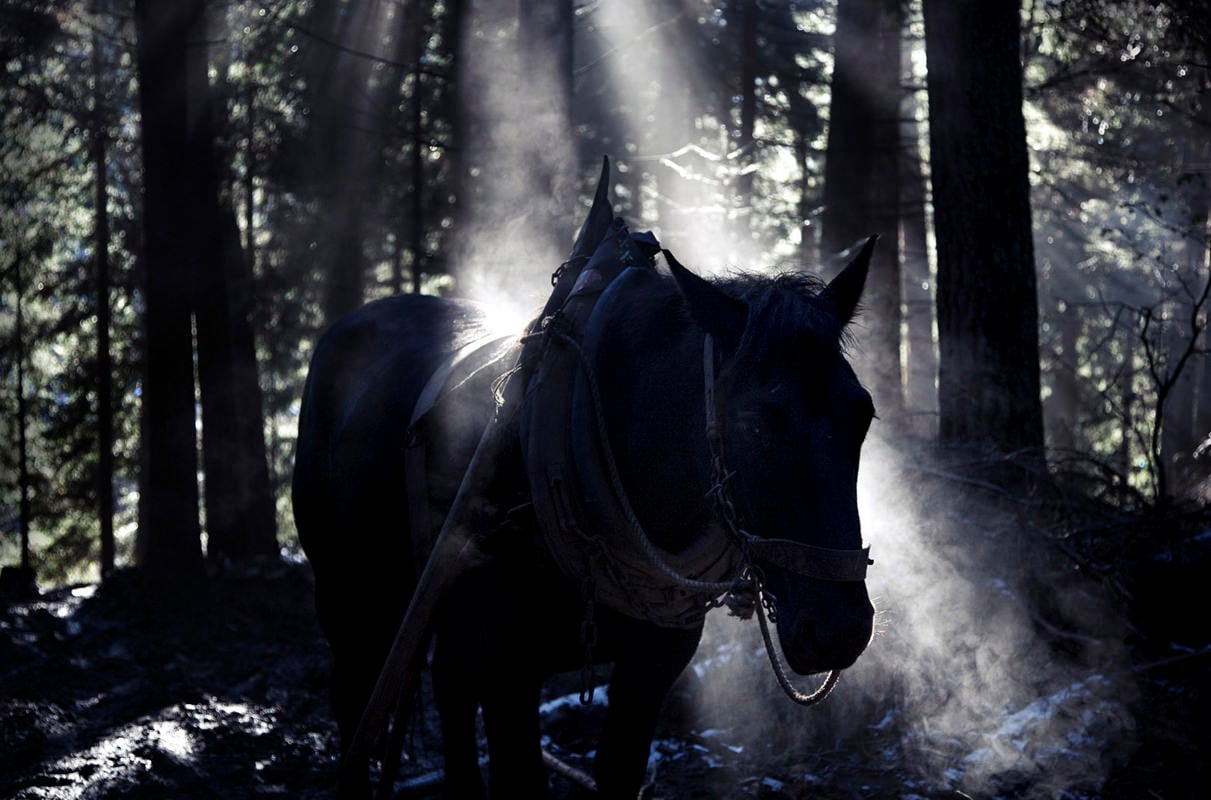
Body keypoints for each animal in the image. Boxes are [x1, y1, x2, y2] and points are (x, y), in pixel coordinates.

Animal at [293, 162, 881, 798]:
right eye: (752, 422)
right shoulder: (507, 669)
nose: (842, 630)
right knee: (356, 701)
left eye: (863, 414)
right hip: (348, 598)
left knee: (448, 693)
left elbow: (618, 767)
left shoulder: (656, 660)